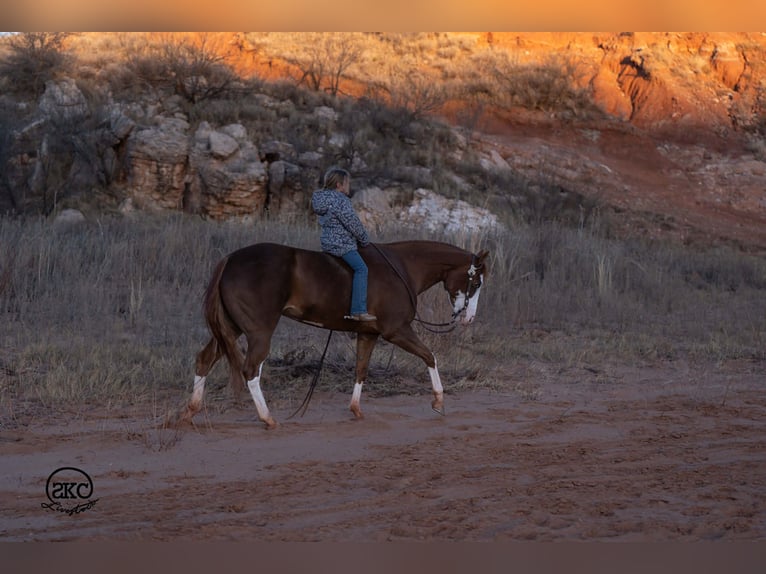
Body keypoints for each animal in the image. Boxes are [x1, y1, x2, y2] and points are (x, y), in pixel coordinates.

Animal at [181, 240, 490, 428]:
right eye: (475, 282)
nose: (469, 318)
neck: (403, 269)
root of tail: (230, 260)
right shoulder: (397, 331)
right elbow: (430, 357)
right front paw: (438, 400)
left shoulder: (368, 335)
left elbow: (361, 370)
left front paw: (356, 409)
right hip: (259, 331)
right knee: (250, 370)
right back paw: (267, 418)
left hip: (230, 329)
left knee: (204, 359)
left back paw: (191, 411)